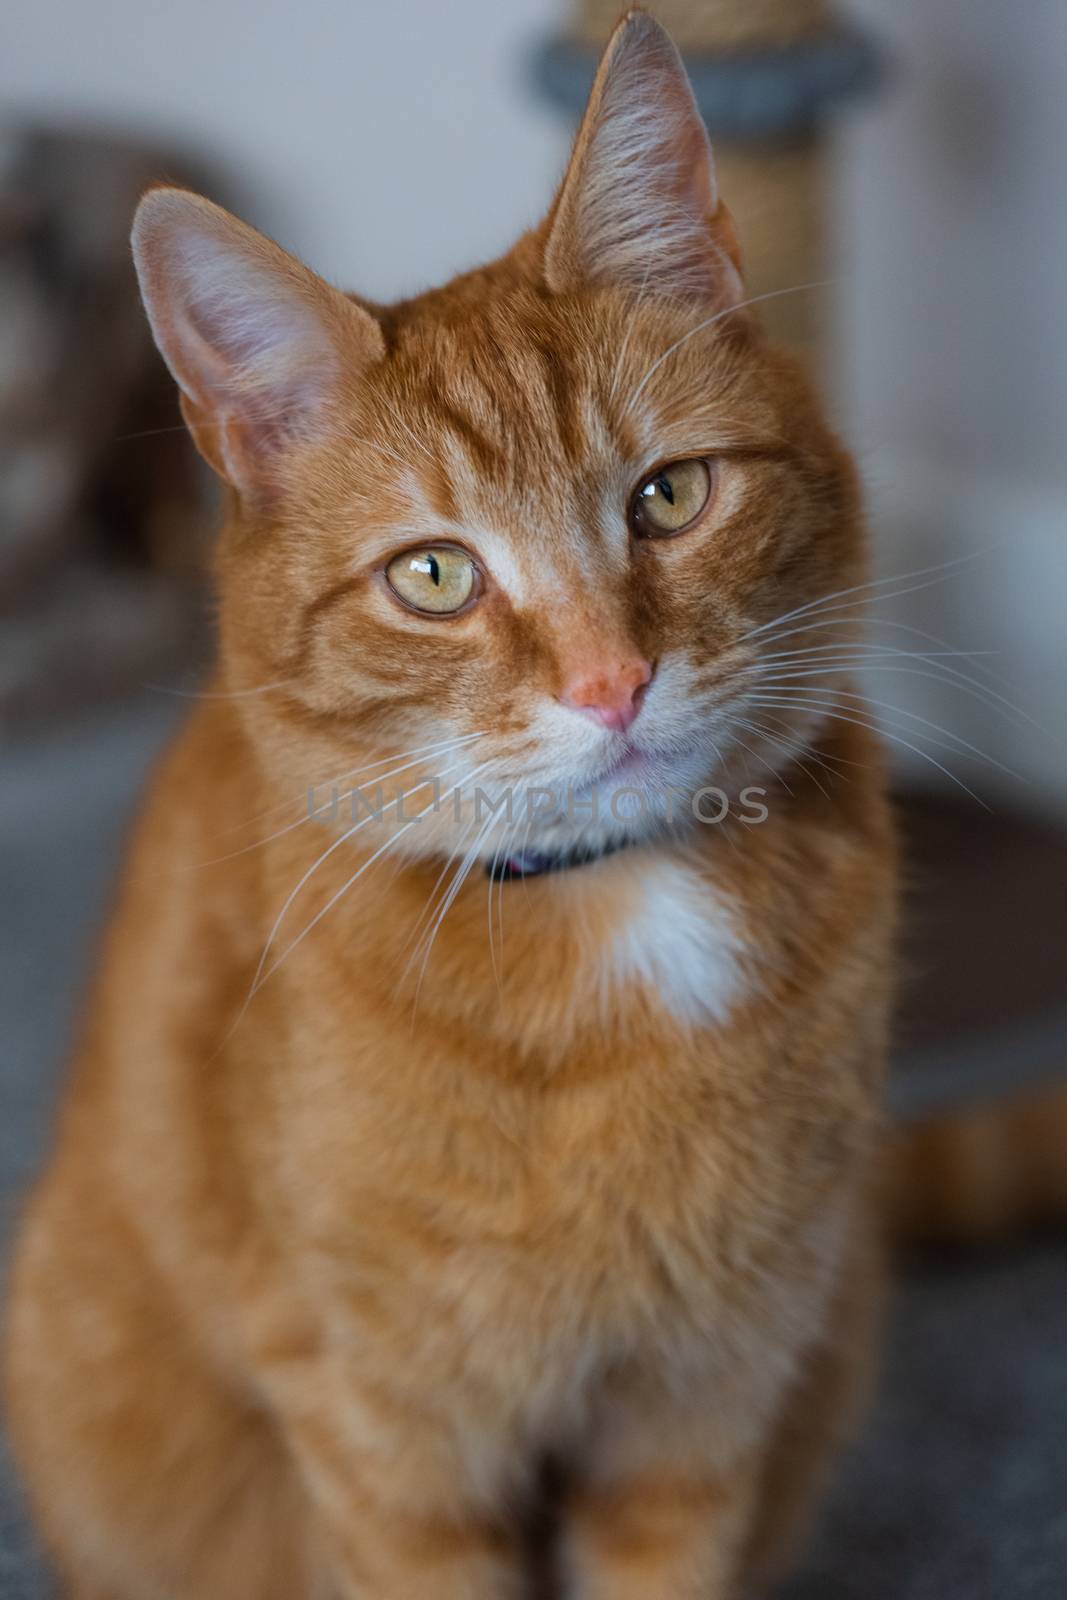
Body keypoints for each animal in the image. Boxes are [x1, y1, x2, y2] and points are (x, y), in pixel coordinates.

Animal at [6, 15, 902, 1600]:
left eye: (668, 497)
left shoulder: (698, 1410)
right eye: (434, 576)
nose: (613, 682)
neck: (617, 917)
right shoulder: (389, 1437)